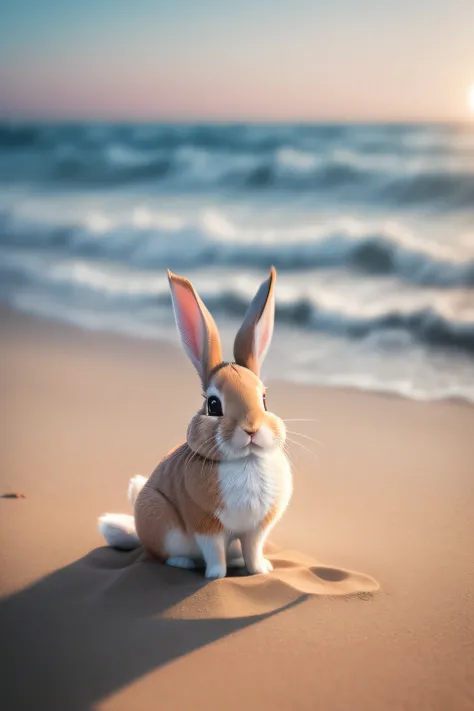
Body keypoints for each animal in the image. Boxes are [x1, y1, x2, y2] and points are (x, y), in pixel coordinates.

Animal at [99, 268, 292, 580]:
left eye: (264, 400)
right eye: (214, 405)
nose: (251, 429)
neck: (245, 460)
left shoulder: (255, 530)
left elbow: (253, 549)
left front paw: (260, 570)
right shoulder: (205, 525)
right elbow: (213, 553)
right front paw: (215, 576)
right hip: (162, 522)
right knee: (164, 554)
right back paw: (184, 563)